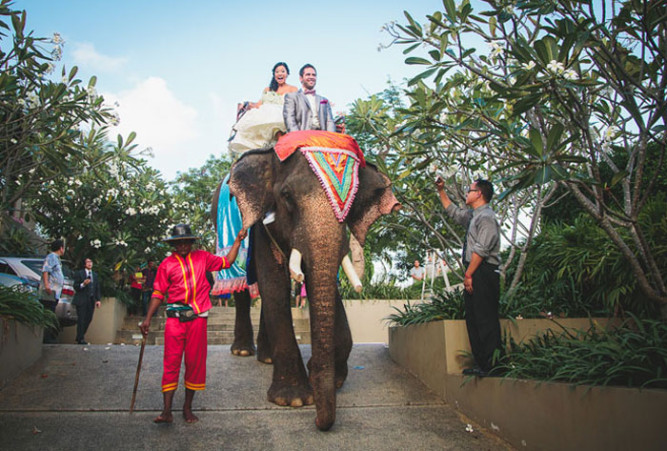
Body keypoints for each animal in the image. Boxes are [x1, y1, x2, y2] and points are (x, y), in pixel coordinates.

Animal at [213, 145, 402, 430]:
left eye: (350, 202)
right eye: (286, 196)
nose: (318, 422)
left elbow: (321, 282)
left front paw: (328, 378)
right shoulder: (262, 224)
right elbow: (273, 281)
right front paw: (294, 399)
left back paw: (266, 357)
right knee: (243, 282)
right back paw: (243, 351)